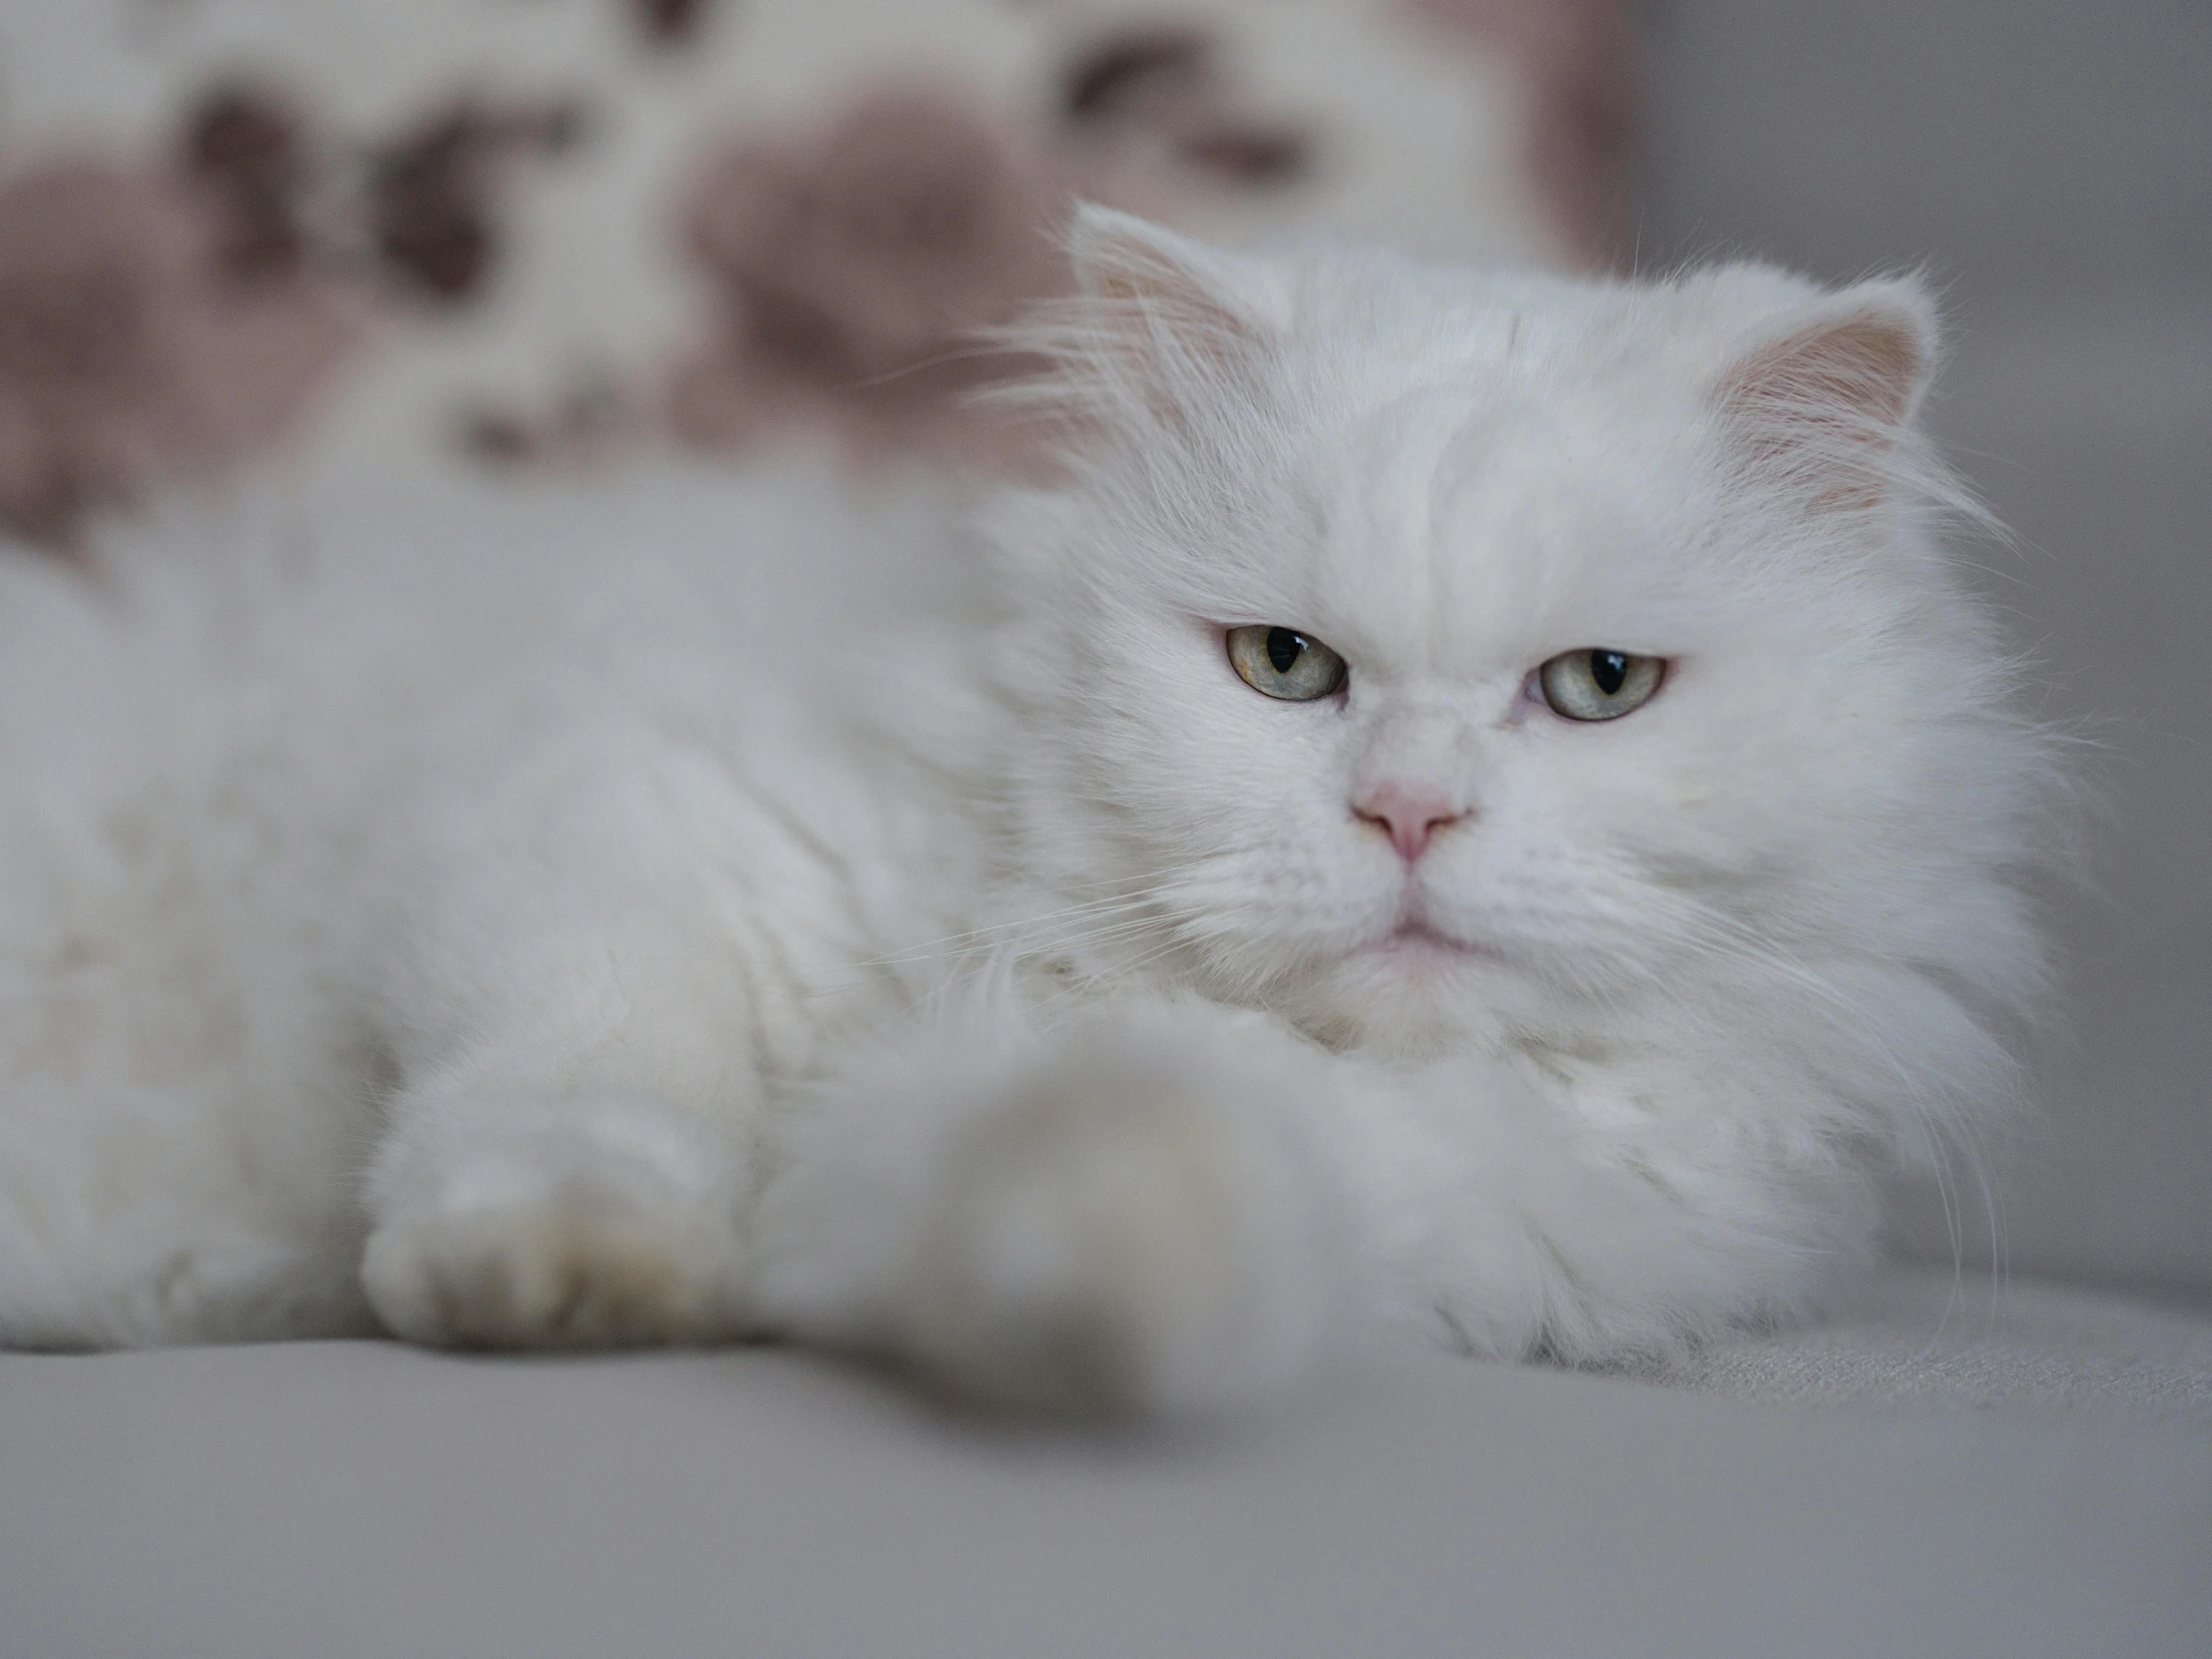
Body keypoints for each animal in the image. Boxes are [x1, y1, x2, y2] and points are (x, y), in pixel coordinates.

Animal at [0, 211, 2052, 1415]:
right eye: (1285, 665)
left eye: (1599, 686)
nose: (1405, 815)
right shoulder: (612, 810)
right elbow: (586, 1096)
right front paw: (559, 1282)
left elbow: (1102, 1193)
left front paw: (1093, 1261)